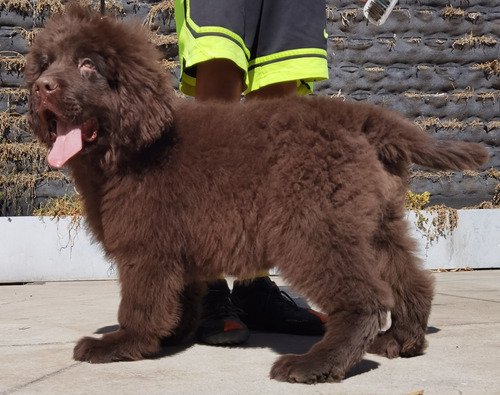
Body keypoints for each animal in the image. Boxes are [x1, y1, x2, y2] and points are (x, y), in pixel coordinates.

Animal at [25, 3, 486, 386]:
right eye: (46, 64)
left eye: (87, 64)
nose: (42, 87)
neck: (137, 144)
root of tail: (364, 117)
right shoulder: (178, 247)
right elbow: (178, 298)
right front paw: (171, 336)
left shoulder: (147, 247)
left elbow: (141, 304)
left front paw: (122, 344)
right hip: (372, 222)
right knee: (413, 282)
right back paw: (400, 342)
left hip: (312, 227)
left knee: (367, 301)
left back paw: (315, 365)